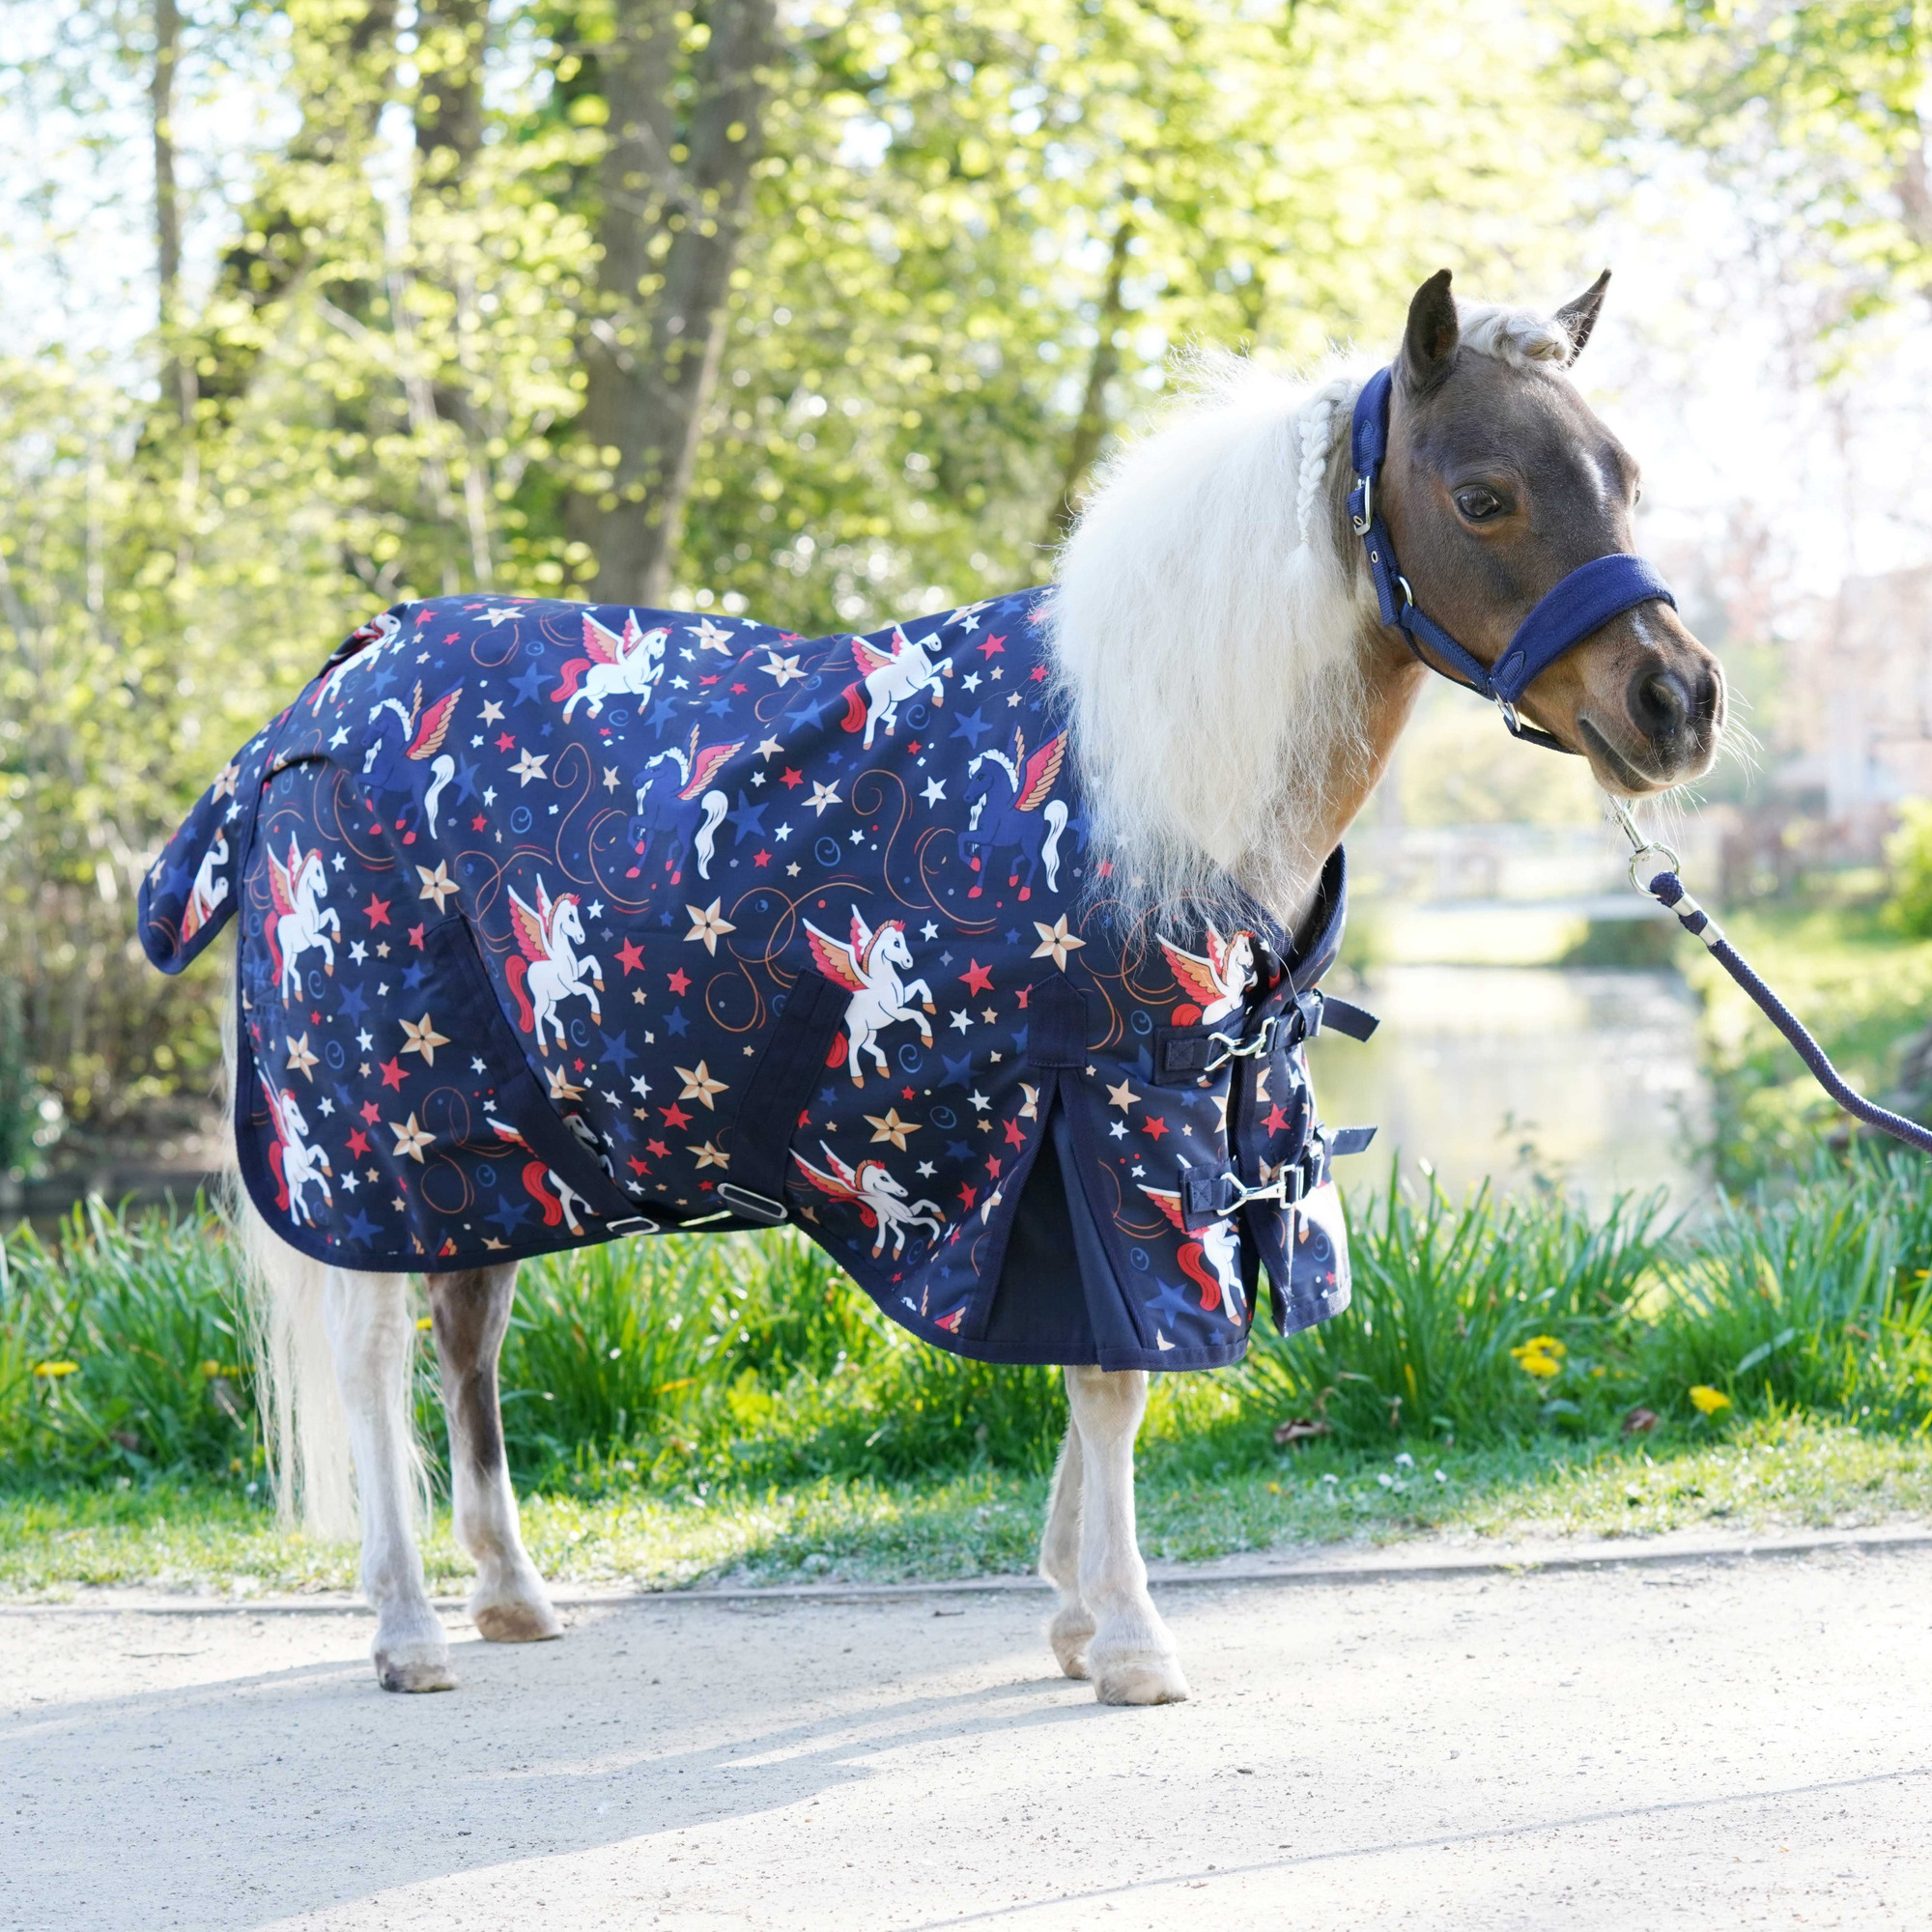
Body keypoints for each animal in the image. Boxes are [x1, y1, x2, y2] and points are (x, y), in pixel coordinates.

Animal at [213, 270, 1721, 1699]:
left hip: (497, 1143)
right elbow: (1114, 1381)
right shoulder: (1113, 1125)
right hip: (383, 1129)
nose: (1677, 704)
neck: (1142, 772)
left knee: (467, 1331)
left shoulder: (1119, 1139)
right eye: (1482, 494)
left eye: (1627, 473)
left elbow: (1086, 1376)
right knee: (373, 1356)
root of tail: (325, 703)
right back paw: (408, 1631)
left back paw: (510, 1595)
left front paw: (1070, 1611)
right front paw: (1128, 1639)